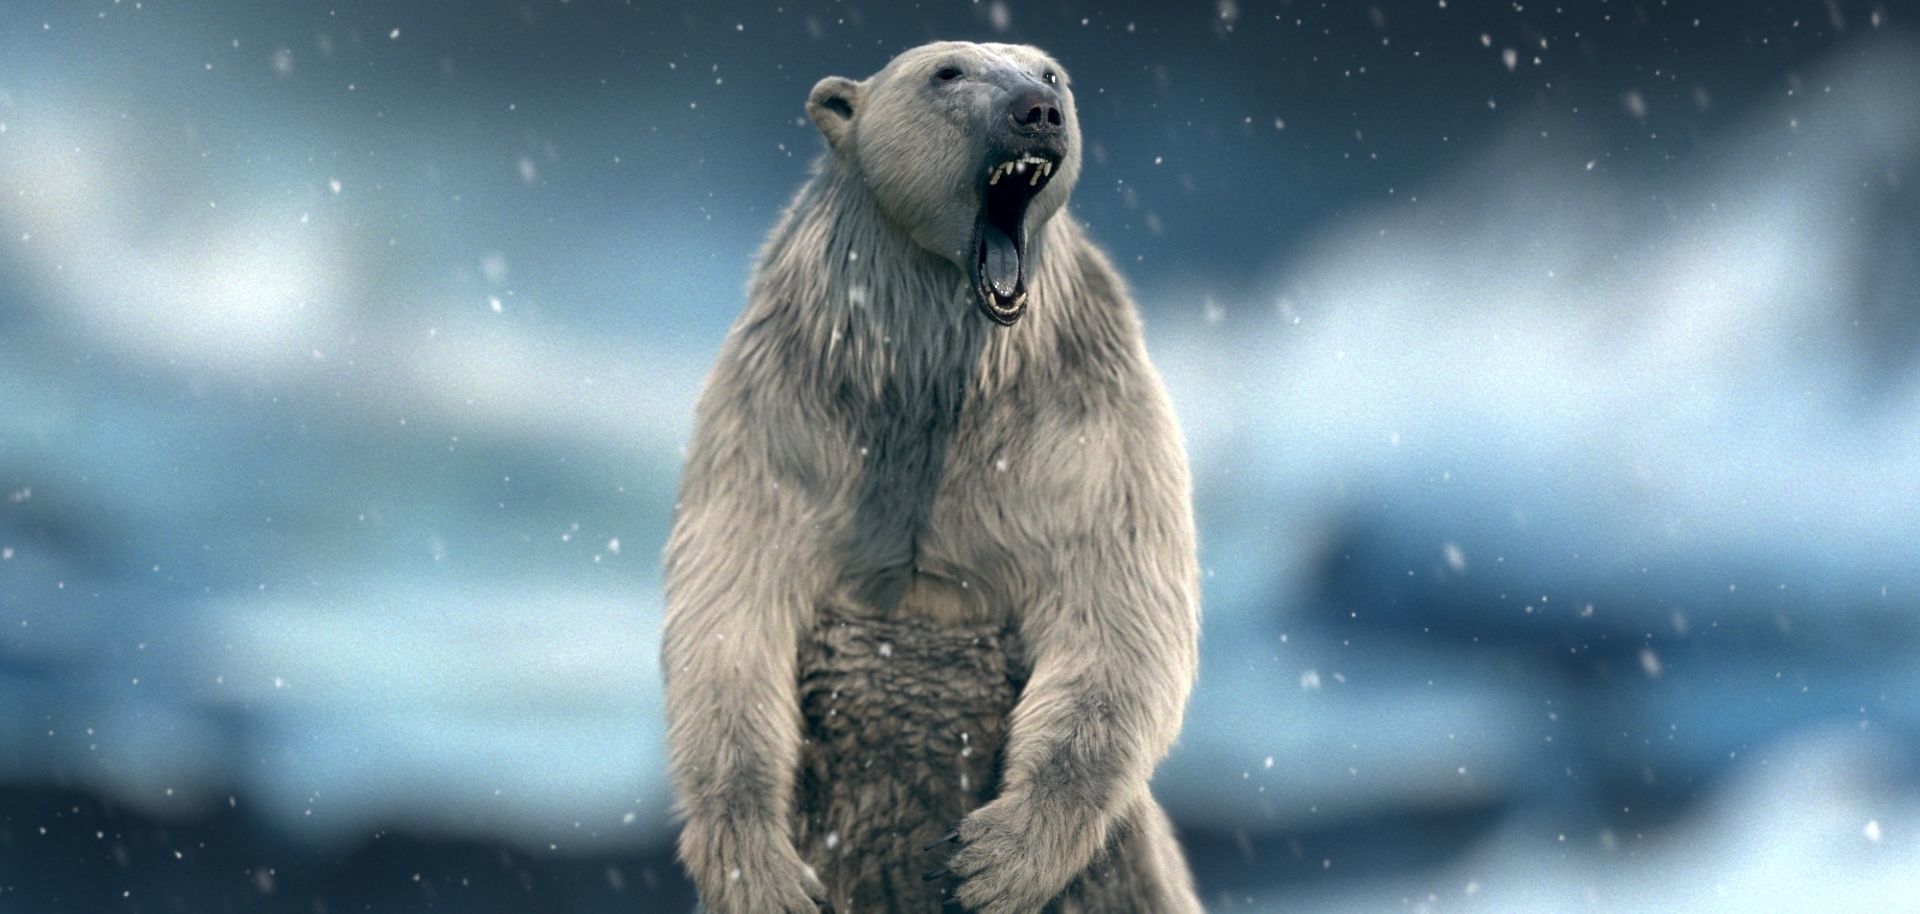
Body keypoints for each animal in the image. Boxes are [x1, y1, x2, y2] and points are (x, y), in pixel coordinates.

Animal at [661, 41, 1203, 914]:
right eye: (947, 72)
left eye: (1051, 73)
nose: (1038, 111)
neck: (930, 376)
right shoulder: (781, 411)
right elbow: (731, 614)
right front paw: (765, 874)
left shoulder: (1082, 410)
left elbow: (1117, 608)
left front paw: (989, 860)